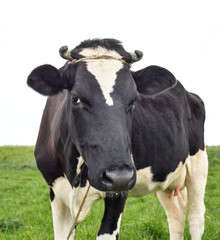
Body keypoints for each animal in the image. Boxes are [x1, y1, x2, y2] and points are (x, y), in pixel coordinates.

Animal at [27, 38, 208, 239]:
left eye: (134, 99)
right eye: (75, 98)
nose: (119, 175)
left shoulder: (119, 192)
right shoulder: (55, 191)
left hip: (198, 164)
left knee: (196, 217)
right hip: (165, 176)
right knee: (176, 214)